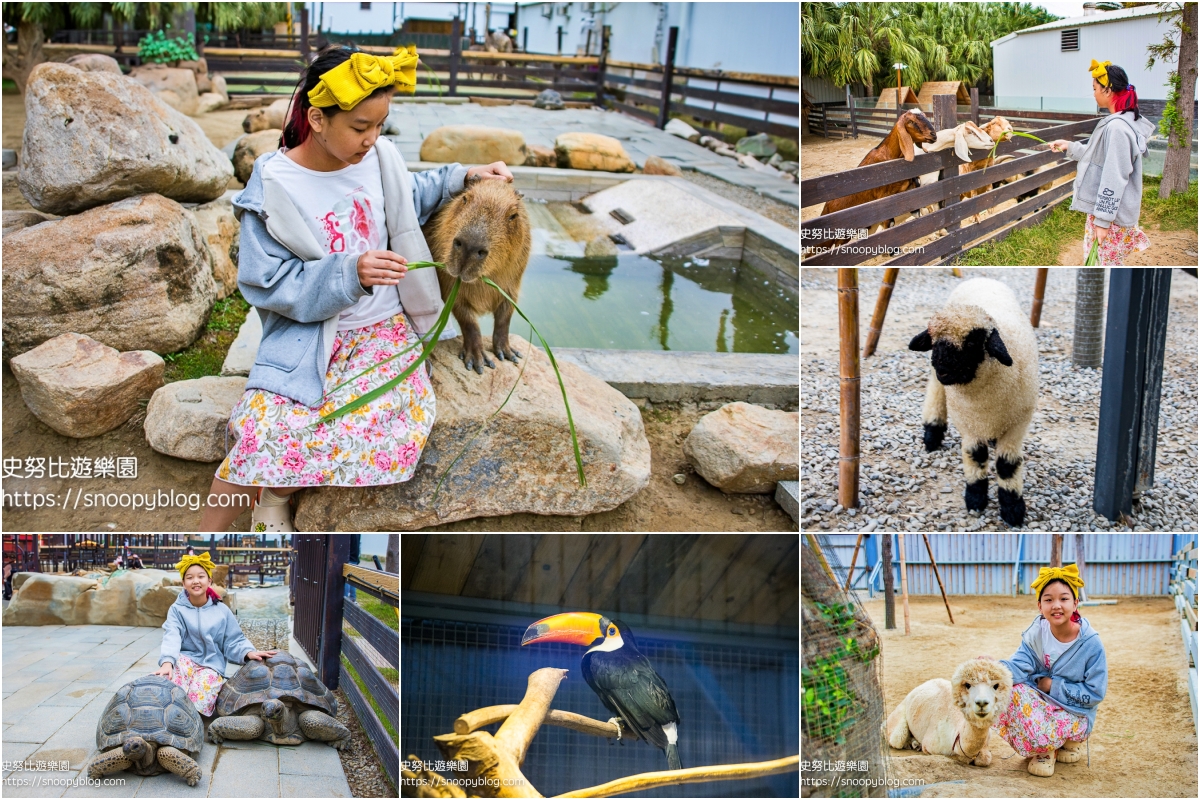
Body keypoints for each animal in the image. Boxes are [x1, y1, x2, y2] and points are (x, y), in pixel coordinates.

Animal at [424, 178, 532, 376]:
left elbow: (505, 317)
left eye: (514, 215)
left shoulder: (511, 288)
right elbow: (469, 322)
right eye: (465, 198)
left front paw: (508, 353)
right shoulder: (450, 286)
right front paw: (477, 362)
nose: (469, 246)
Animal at [816, 108, 936, 247]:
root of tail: (827, 206)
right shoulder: (883, 197)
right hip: (832, 237)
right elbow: (889, 224)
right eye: (911, 121)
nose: (934, 135)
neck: (889, 155)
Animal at [902, 278, 1036, 527]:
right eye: (934, 341)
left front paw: (1013, 508)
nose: (943, 368)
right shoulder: (968, 425)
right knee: (935, 393)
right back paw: (932, 434)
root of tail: (981, 279)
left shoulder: (1017, 424)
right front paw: (975, 499)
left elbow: (1007, 465)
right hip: (937, 384)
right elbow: (975, 456)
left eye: (973, 343)